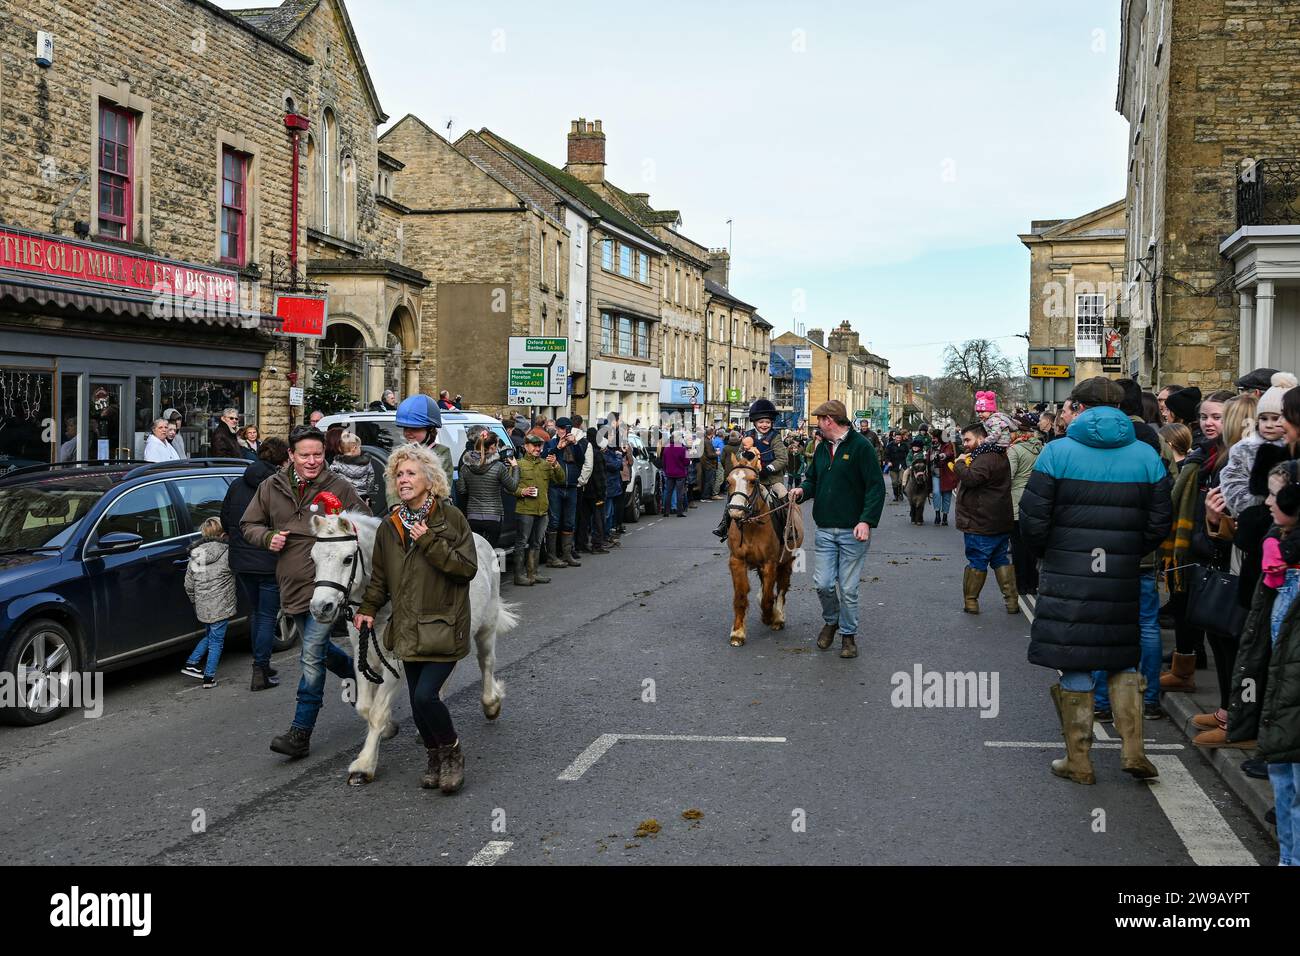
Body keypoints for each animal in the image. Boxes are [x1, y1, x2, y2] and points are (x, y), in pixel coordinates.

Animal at [306, 512, 520, 790]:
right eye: (313, 557)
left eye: (348, 558)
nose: (321, 608)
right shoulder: (363, 657)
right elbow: (364, 706)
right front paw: (388, 730)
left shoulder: (394, 664)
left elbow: (376, 711)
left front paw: (364, 766)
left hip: (487, 625)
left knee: (486, 662)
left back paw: (491, 704)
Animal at [728, 460, 795, 647]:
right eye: (728, 481)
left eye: (752, 481)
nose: (735, 511)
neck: (751, 525)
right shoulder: (737, 561)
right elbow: (741, 597)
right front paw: (737, 633)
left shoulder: (770, 563)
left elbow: (767, 597)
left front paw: (769, 616)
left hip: (786, 561)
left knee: (781, 589)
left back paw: (778, 617)